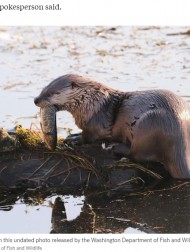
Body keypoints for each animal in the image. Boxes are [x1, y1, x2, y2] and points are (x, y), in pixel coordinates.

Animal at [33, 74, 190, 178]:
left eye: (52, 93)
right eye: (43, 88)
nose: (36, 99)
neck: (91, 104)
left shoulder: (95, 123)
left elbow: (88, 137)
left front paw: (74, 139)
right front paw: (73, 134)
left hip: (151, 122)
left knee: (137, 154)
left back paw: (116, 148)